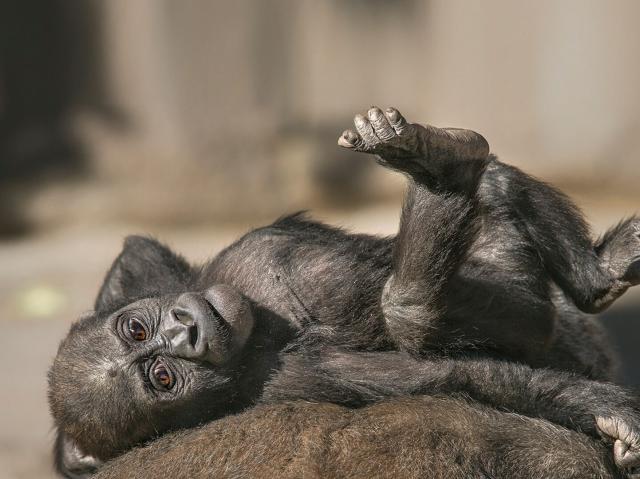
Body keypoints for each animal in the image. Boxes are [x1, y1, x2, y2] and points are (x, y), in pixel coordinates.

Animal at [48, 107, 640, 476]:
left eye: (136, 329)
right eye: (164, 378)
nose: (183, 332)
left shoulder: (168, 282)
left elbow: (138, 251)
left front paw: (74, 454)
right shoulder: (294, 379)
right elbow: (459, 377)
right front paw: (609, 411)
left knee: (492, 187)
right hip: (539, 308)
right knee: (413, 310)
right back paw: (449, 173)